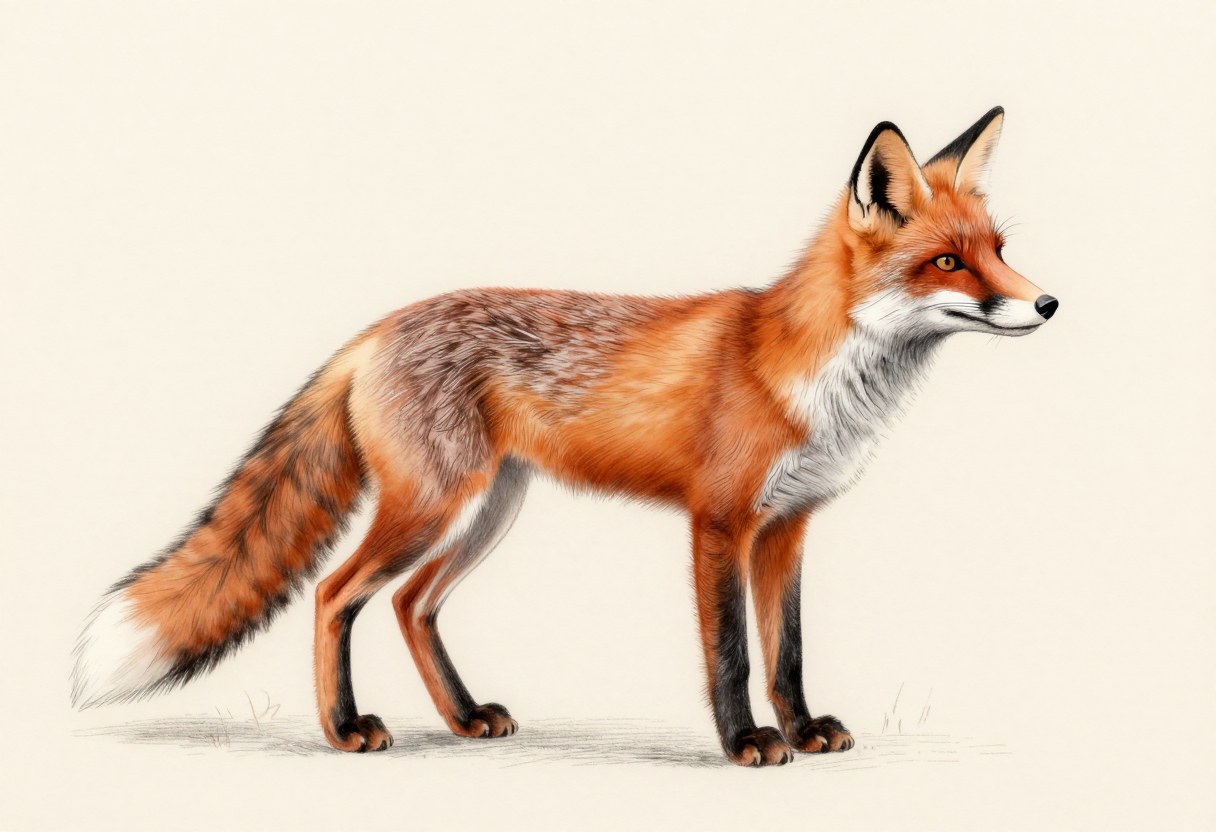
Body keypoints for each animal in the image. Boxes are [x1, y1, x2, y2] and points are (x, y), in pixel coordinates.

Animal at [72, 107, 1057, 766]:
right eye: (947, 262)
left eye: (1001, 249)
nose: (1048, 303)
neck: (813, 375)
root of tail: (378, 329)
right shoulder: (719, 522)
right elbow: (733, 654)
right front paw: (746, 741)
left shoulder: (788, 525)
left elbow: (789, 651)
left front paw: (805, 727)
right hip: (433, 507)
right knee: (333, 595)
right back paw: (345, 729)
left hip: (487, 511)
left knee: (409, 604)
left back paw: (465, 718)